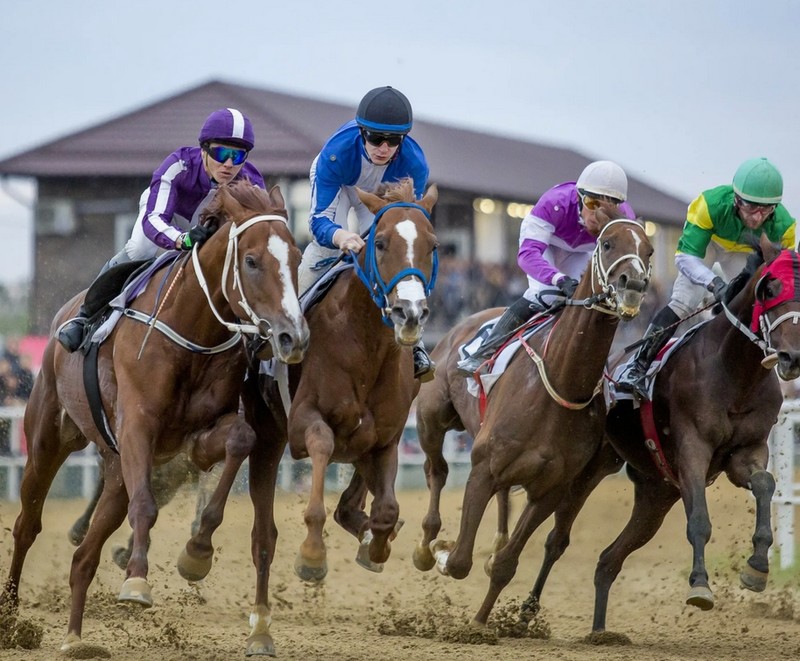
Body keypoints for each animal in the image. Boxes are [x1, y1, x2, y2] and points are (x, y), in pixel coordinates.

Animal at [0, 182, 310, 656]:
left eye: (295, 258)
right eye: (252, 261)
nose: (293, 336)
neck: (193, 333)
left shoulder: (193, 439)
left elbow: (239, 439)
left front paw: (197, 551)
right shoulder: (137, 429)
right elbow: (145, 506)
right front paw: (136, 583)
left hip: (114, 472)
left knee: (84, 555)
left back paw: (74, 639)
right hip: (48, 438)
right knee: (26, 526)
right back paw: (13, 619)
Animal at [239, 177, 438, 656]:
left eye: (433, 245)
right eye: (380, 243)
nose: (410, 314)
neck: (364, 345)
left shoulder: (385, 437)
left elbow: (385, 509)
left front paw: (377, 543)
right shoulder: (302, 423)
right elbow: (322, 453)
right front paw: (312, 556)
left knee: (353, 505)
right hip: (263, 434)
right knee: (258, 530)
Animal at [416, 217, 652, 628]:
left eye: (649, 251)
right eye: (607, 243)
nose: (633, 285)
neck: (560, 381)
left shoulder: (551, 489)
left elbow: (506, 564)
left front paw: (481, 622)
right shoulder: (483, 468)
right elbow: (459, 560)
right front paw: (443, 551)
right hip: (432, 418)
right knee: (437, 470)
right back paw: (427, 544)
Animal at [520, 233, 800, 640]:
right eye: (771, 288)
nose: (792, 357)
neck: (736, 374)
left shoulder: (747, 452)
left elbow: (765, 483)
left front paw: (757, 566)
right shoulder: (692, 450)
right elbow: (699, 519)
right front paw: (700, 585)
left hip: (657, 494)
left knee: (608, 560)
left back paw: (600, 632)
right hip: (589, 470)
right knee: (557, 540)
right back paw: (527, 611)